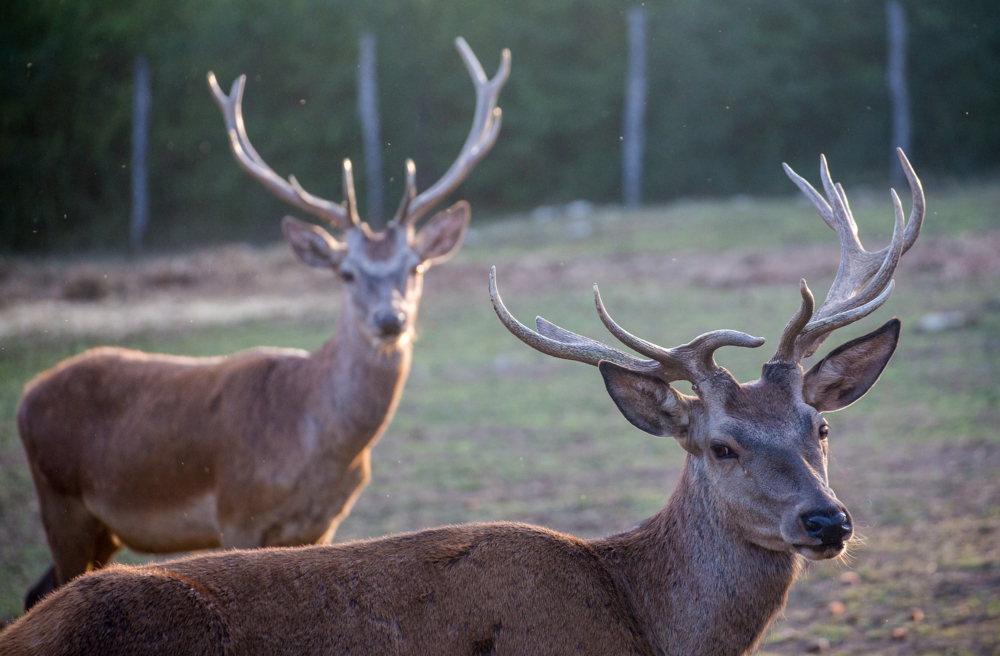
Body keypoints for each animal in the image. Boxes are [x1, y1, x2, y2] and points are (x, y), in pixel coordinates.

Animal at [14, 37, 510, 613]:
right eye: (346, 272)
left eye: (416, 267)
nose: (391, 319)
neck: (316, 446)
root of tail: (26, 395)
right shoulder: (237, 513)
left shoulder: (323, 525)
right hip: (60, 499)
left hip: (101, 527)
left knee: (37, 590)